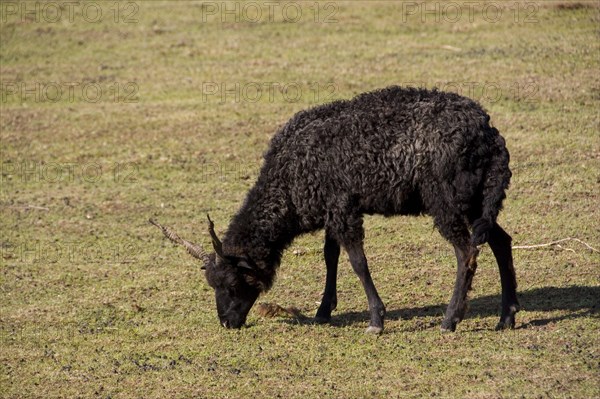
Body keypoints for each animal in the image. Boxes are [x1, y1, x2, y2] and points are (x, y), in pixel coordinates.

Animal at [152, 86, 516, 334]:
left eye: (230, 283)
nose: (227, 322)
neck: (287, 180)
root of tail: (489, 134)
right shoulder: (330, 210)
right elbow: (330, 257)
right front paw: (324, 311)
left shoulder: (343, 209)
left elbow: (358, 263)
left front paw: (376, 319)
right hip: (477, 199)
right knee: (500, 241)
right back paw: (506, 316)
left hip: (447, 199)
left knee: (467, 252)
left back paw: (450, 319)